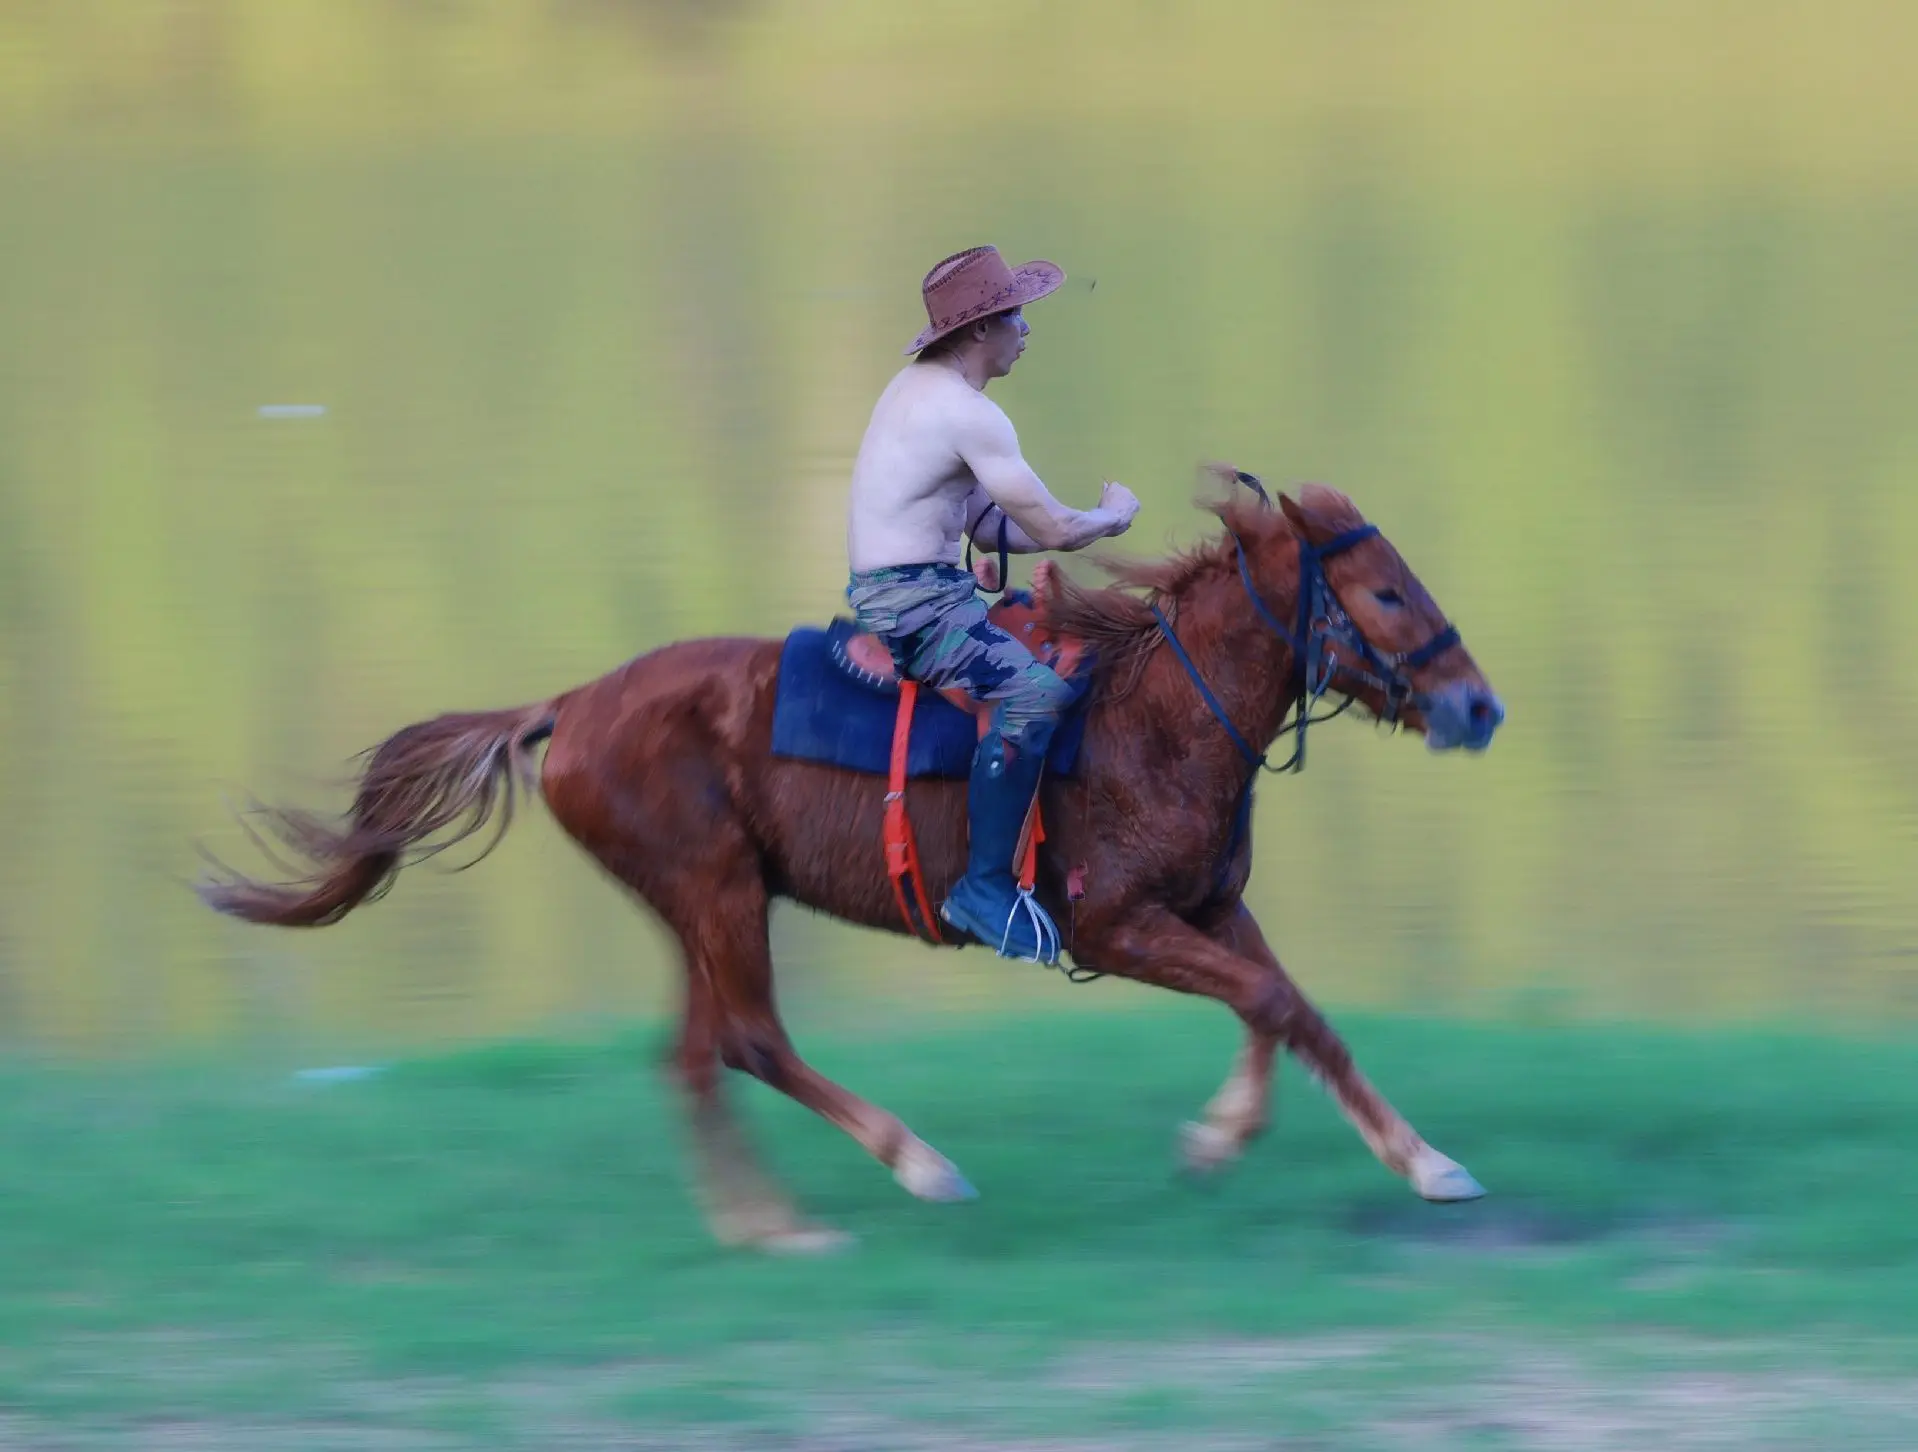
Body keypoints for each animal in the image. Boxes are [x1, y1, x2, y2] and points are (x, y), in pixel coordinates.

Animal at [202, 473, 1503, 1242]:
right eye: (1386, 592)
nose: (1478, 706)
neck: (1154, 715)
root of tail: (568, 706)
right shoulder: (1116, 924)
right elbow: (1270, 1002)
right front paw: (1238, 1141)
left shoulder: (1210, 908)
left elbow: (1291, 1011)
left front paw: (1410, 1161)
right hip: (718, 890)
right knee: (747, 1040)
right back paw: (907, 1167)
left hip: (699, 905)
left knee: (692, 1055)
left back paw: (760, 1223)